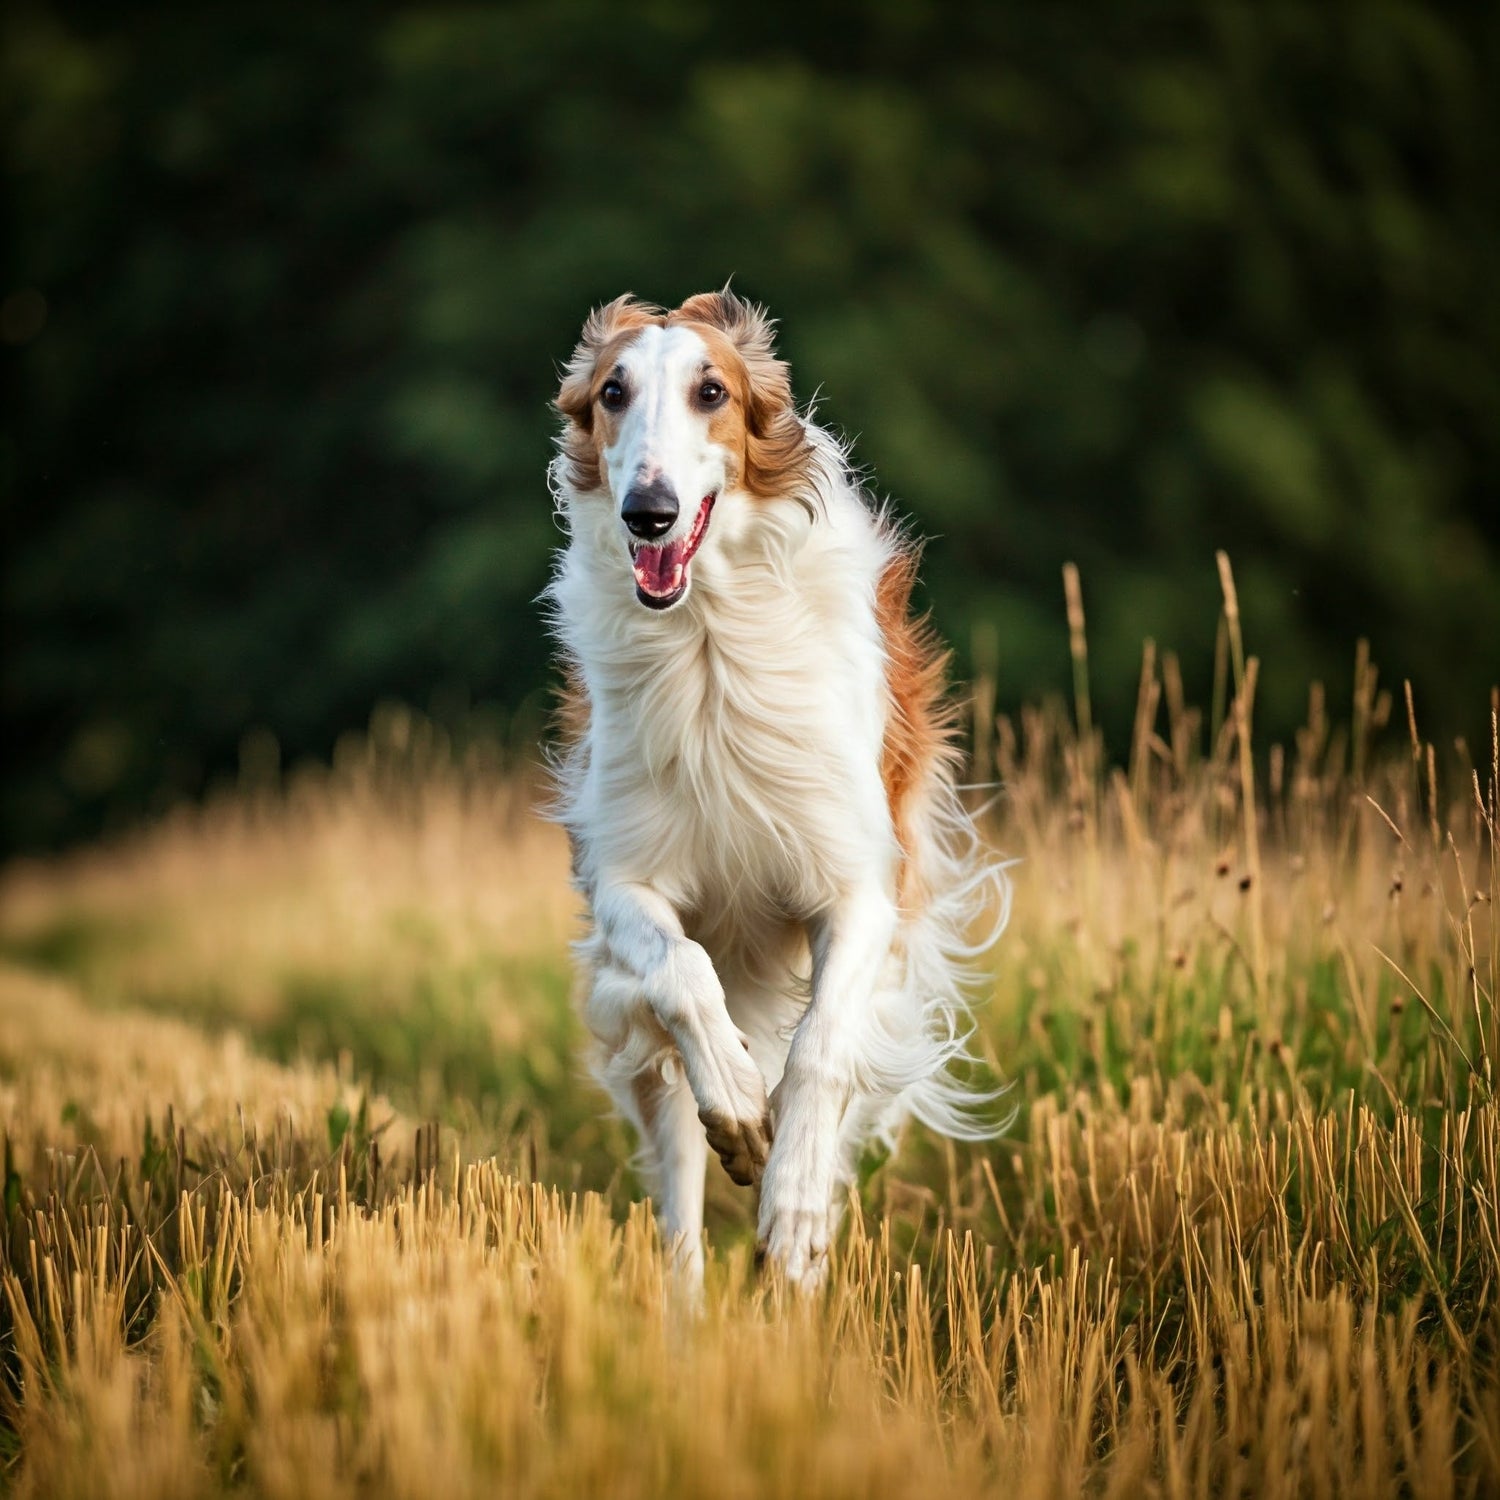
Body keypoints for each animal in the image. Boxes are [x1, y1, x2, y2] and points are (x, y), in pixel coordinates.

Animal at [543, 292, 1008, 1290]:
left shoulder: (862, 887)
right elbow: (683, 973)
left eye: (711, 391)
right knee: (678, 1196)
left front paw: (791, 1213)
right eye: (612, 393)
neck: (709, 635)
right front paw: (740, 1107)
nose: (649, 513)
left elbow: (820, 1050)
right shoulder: (623, 880)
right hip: (640, 1040)